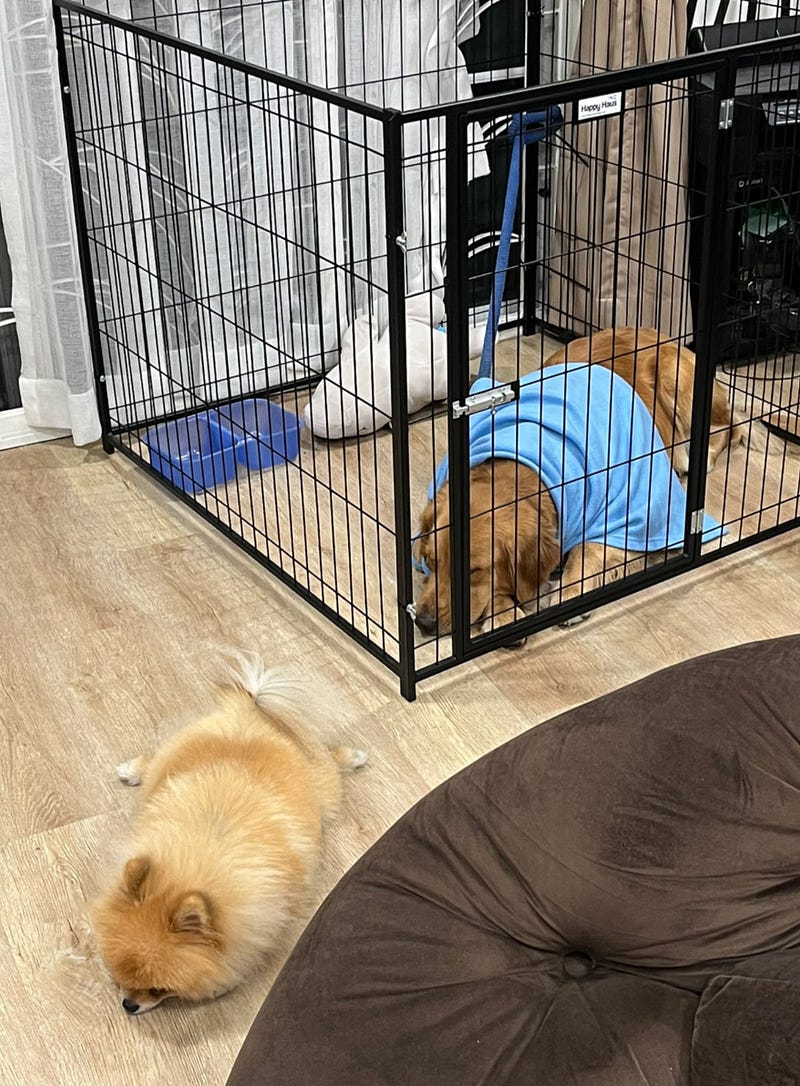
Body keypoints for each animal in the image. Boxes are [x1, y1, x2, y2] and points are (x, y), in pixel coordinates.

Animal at [91, 655, 366, 1015]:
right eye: (120, 977)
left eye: (158, 989)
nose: (128, 1005)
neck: (199, 856)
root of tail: (250, 710)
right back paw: (130, 770)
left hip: (325, 789)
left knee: (329, 760)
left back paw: (354, 757)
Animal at [413, 327, 745, 638]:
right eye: (430, 560)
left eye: (473, 571)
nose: (423, 623)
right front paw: (503, 612)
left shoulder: (628, 514)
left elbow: (587, 549)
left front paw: (568, 593)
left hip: (676, 377)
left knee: (732, 425)